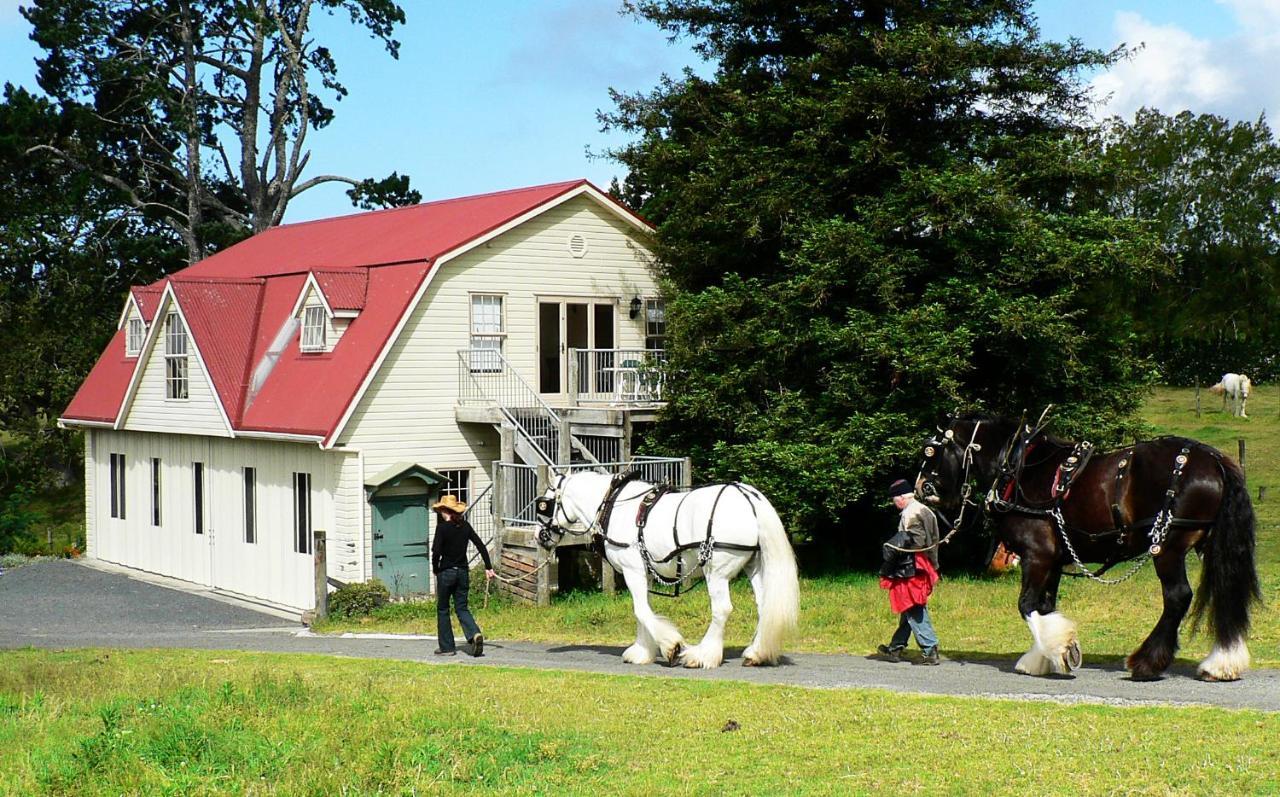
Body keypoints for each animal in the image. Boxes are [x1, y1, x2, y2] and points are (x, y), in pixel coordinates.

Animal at [540, 470, 798, 670]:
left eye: (544, 505)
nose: (540, 536)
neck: (611, 504)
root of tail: (749, 497)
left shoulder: (632, 569)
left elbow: (641, 610)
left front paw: (671, 646)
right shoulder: (644, 573)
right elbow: (643, 610)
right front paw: (642, 651)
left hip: (716, 571)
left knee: (722, 609)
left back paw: (702, 655)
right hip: (754, 566)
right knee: (764, 606)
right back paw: (756, 653)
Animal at [921, 414, 1259, 680]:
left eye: (931, 451)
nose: (922, 489)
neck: (1018, 468)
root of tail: (1214, 461)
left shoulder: (1037, 554)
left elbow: (1027, 605)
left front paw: (1059, 649)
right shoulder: (1054, 560)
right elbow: (1045, 605)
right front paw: (1046, 657)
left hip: (1168, 546)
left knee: (1177, 596)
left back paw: (1147, 663)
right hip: (1208, 545)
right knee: (1224, 590)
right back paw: (1221, 664)